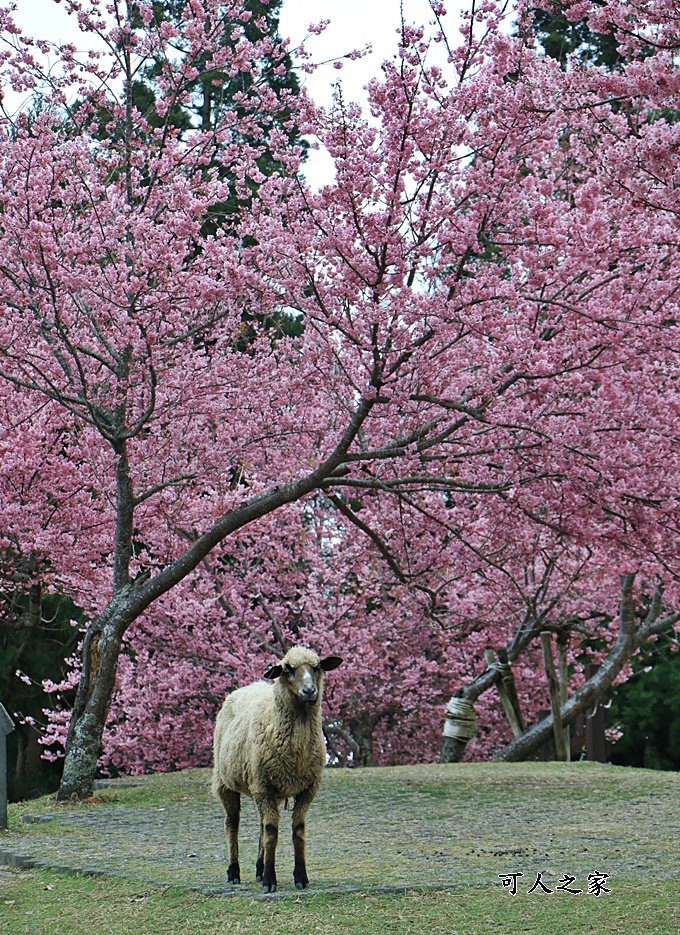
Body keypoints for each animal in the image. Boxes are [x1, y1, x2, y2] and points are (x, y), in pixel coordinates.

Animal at [211, 644, 342, 892]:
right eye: (288, 669)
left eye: (317, 666)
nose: (309, 690)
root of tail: (250, 686)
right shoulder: (264, 786)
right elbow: (272, 832)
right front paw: (270, 881)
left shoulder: (307, 788)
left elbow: (297, 829)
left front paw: (300, 877)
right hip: (225, 781)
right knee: (232, 823)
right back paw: (234, 872)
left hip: (262, 788)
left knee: (261, 823)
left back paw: (259, 868)